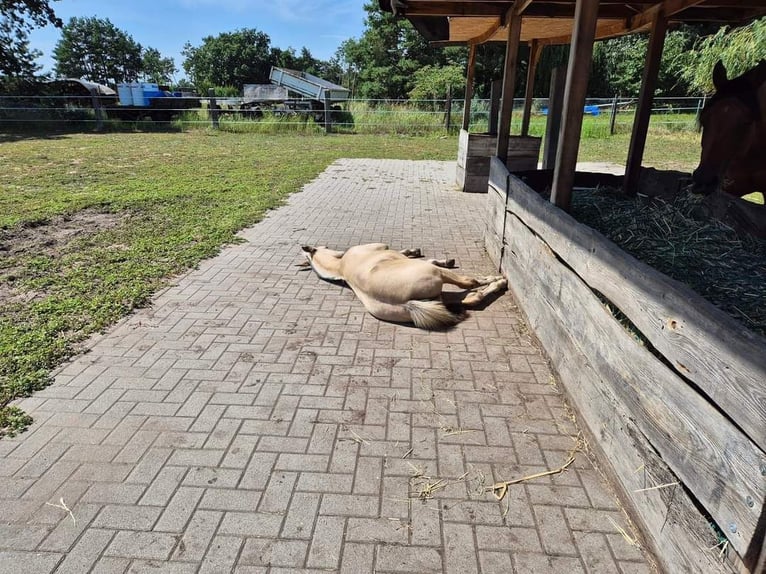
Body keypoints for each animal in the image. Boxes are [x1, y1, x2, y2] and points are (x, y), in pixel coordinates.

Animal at [302, 244, 510, 332]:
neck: (341, 266)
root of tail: (407, 304)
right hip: (438, 277)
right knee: (469, 283)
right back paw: (498, 280)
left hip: (439, 299)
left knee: (471, 298)